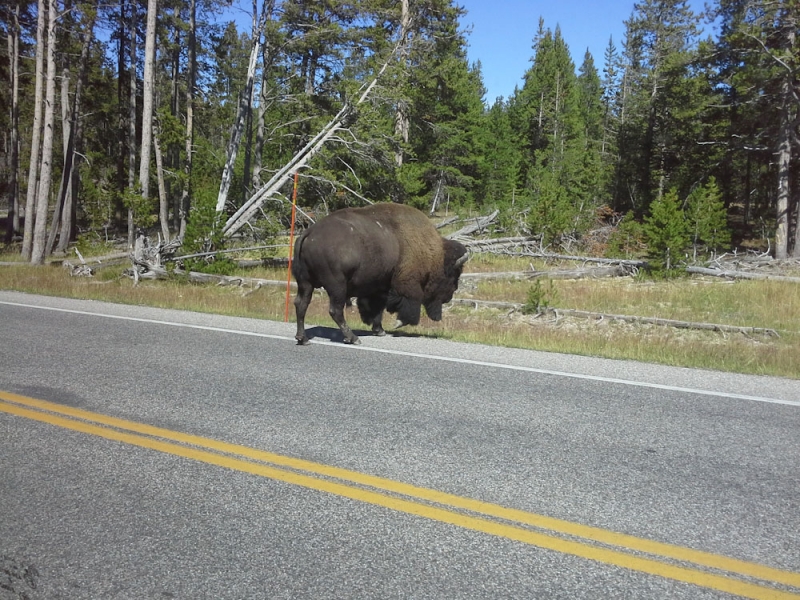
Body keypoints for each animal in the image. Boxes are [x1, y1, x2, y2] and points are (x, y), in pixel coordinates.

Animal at [292, 203, 468, 344]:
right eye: (453, 276)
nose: (450, 296)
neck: (434, 254)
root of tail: (309, 233)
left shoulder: (379, 287)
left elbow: (377, 308)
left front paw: (379, 330)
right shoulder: (406, 285)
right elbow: (409, 306)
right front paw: (396, 324)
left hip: (305, 283)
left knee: (301, 304)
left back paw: (303, 338)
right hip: (337, 286)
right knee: (335, 310)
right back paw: (353, 338)